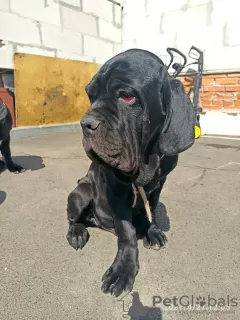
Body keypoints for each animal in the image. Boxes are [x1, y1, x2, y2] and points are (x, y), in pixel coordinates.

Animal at [66, 49, 197, 298]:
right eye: (90, 96)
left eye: (126, 96)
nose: (85, 124)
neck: (145, 158)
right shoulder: (115, 190)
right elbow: (126, 232)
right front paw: (122, 270)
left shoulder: (159, 184)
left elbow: (151, 209)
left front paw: (151, 231)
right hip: (81, 192)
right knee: (72, 218)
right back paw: (77, 232)